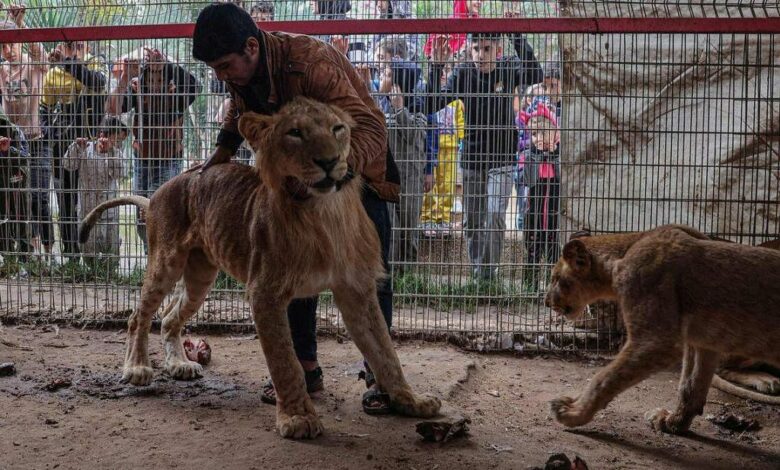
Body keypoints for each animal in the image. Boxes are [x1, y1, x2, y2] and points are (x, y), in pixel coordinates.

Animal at [82, 97, 442, 438]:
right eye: (295, 133)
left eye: (338, 129)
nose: (328, 162)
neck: (325, 212)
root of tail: (160, 189)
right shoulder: (265, 291)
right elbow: (285, 361)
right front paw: (298, 417)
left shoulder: (356, 289)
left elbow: (385, 352)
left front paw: (411, 401)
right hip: (166, 261)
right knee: (138, 315)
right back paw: (137, 368)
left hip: (201, 275)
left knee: (170, 317)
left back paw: (179, 365)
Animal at [544, 224, 780, 434]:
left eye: (555, 278)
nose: (546, 302)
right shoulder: (701, 341)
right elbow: (690, 385)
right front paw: (673, 423)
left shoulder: (657, 340)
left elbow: (605, 378)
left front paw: (572, 413)